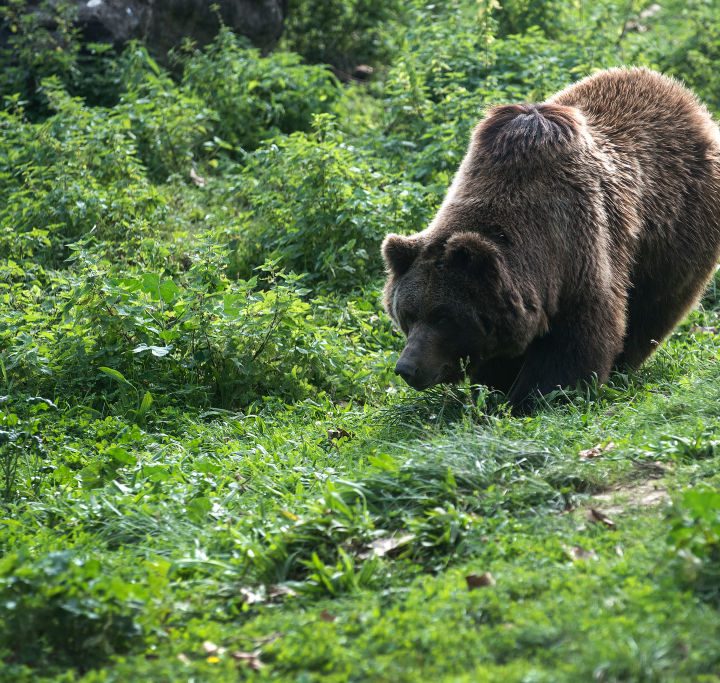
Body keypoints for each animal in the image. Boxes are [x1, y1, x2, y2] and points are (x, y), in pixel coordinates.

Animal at [381, 67, 720, 409]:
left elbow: (577, 342)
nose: (407, 367)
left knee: (653, 307)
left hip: (676, 228)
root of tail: (686, 99)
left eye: (443, 317)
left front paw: (537, 396)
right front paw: (495, 389)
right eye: (407, 314)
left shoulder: (579, 251)